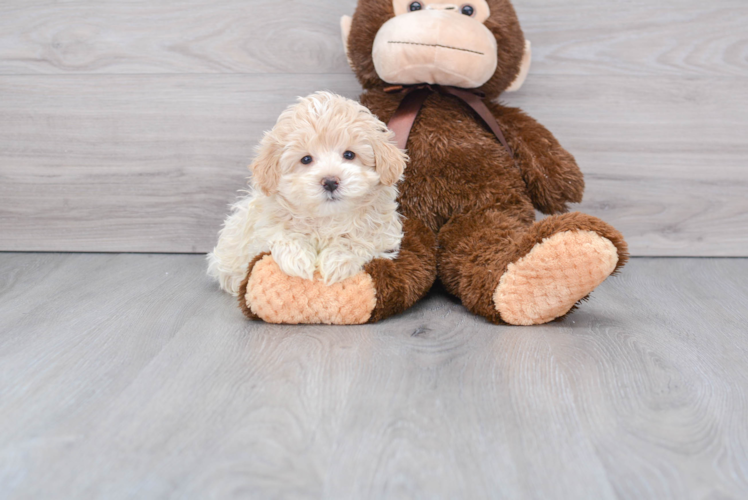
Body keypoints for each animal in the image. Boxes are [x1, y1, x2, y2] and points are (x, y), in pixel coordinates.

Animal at [207, 91, 406, 294]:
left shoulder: (382, 235)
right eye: (306, 159)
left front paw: (336, 260)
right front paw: (297, 260)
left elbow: (358, 239)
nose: (330, 182)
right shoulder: (262, 227)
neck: (327, 218)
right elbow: (282, 233)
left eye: (349, 155)